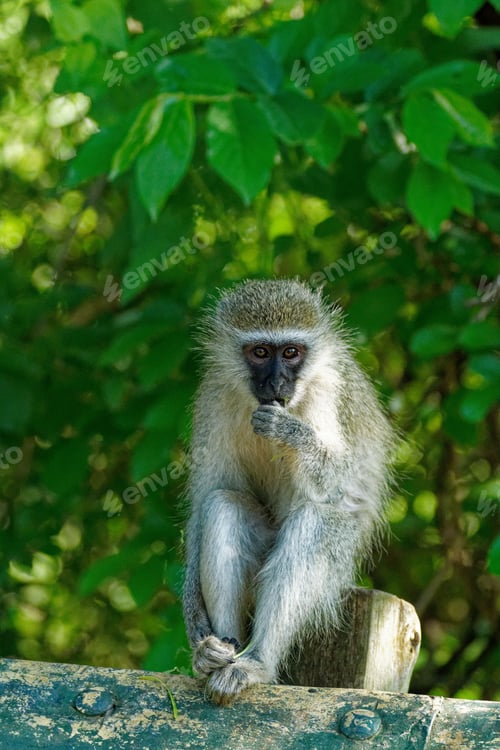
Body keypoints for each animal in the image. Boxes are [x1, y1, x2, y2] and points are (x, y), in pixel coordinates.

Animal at [183, 278, 394, 705]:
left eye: (292, 352)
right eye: (261, 352)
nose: (276, 383)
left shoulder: (330, 394)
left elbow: (340, 486)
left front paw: (291, 433)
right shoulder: (214, 396)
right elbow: (208, 494)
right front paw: (196, 626)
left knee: (318, 519)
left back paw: (257, 663)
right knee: (224, 504)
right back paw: (219, 652)